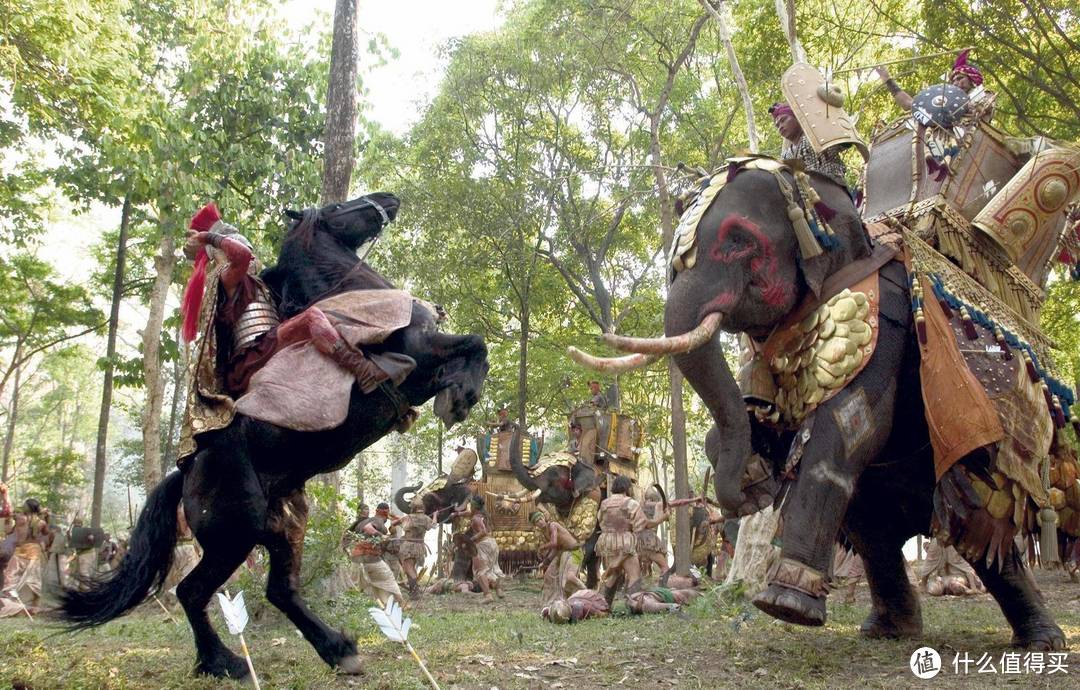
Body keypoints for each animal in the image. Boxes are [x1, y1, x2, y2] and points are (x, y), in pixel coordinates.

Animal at [61, 192, 492, 678]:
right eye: (338, 208)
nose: (387, 199)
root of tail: (186, 473)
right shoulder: (420, 350)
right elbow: (475, 343)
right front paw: (461, 396)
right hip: (235, 535)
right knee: (192, 592)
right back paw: (224, 661)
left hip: (284, 527)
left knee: (279, 590)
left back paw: (338, 650)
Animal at [578, 157, 1067, 652]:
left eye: (739, 241)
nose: (739, 505)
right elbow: (762, 420)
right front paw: (757, 482)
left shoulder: (886, 319)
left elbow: (848, 427)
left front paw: (782, 607)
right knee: (874, 534)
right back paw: (888, 630)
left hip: (991, 465)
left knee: (982, 533)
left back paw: (1041, 642)